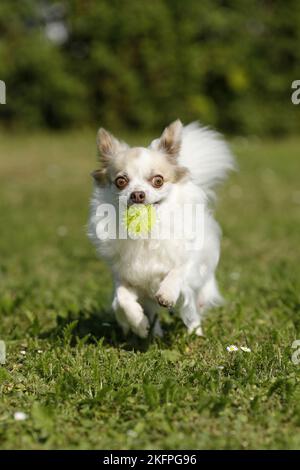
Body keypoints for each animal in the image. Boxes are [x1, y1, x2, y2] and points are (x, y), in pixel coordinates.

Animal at [88, 119, 233, 336]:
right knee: (152, 313)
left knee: (192, 311)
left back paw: (196, 333)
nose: (137, 194)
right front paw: (138, 324)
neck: (148, 232)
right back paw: (153, 333)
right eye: (121, 181)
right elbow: (121, 299)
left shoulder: (188, 261)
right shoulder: (124, 276)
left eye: (158, 181)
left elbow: (178, 270)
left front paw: (167, 293)